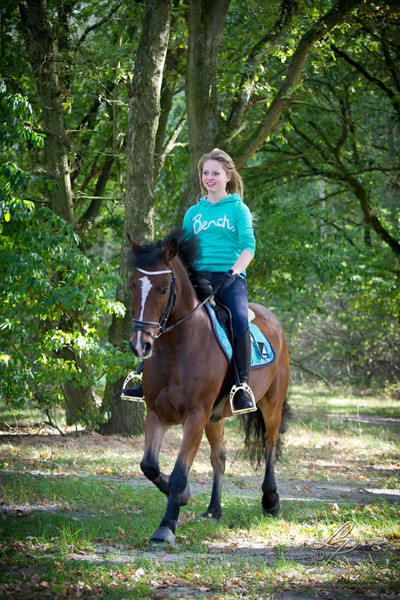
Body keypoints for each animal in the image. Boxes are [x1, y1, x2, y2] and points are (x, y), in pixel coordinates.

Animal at [127, 229, 288, 544]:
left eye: (164, 289)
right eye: (131, 286)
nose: (141, 345)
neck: (178, 349)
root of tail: (274, 320)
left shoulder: (195, 416)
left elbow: (180, 472)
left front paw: (166, 526)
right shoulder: (157, 413)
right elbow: (149, 465)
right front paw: (183, 497)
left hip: (271, 404)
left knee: (270, 443)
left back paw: (271, 500)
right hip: (216, 418)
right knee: (219, 457)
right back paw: (214, 509)